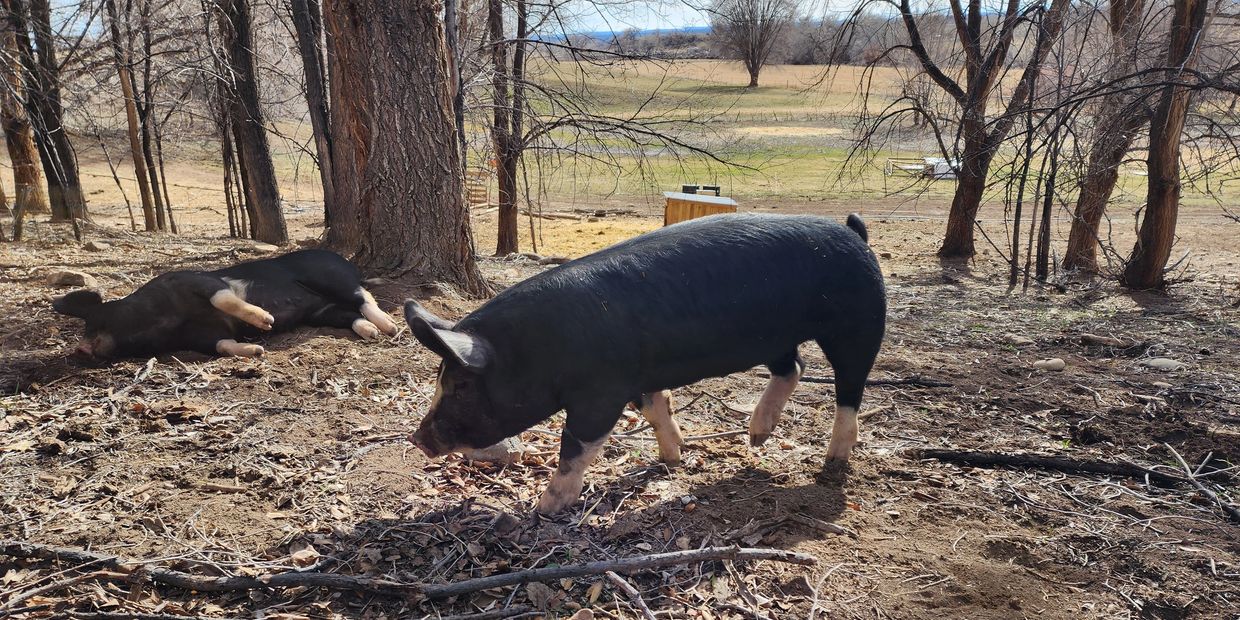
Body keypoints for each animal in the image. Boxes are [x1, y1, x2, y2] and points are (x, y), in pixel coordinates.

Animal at [52, 249, 398, 359]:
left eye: (95, 319)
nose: (79, 349)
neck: (161, 320)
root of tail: (347, 262)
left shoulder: (192, 281)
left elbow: (224, 296)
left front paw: (266, 321)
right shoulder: (197, 337)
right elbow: (222, 345)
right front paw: (256, 351)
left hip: (328, 275)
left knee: (362, 295)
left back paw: (390, 328)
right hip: (318, 312)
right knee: (349, 313)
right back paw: (371, 333)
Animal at [405, 213, 886, 514]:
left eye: (461, 385)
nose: (417, 438)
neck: (536, 350)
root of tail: (854, 234)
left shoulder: (599, 392)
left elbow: (575, 445)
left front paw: (544, 507)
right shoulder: (637, 375)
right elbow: (656, 406)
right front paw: (674, 457)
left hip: (858, 324)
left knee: (850, 387)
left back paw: (832, 464)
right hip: (775, 335)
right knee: (793, 368)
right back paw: (756, 437)